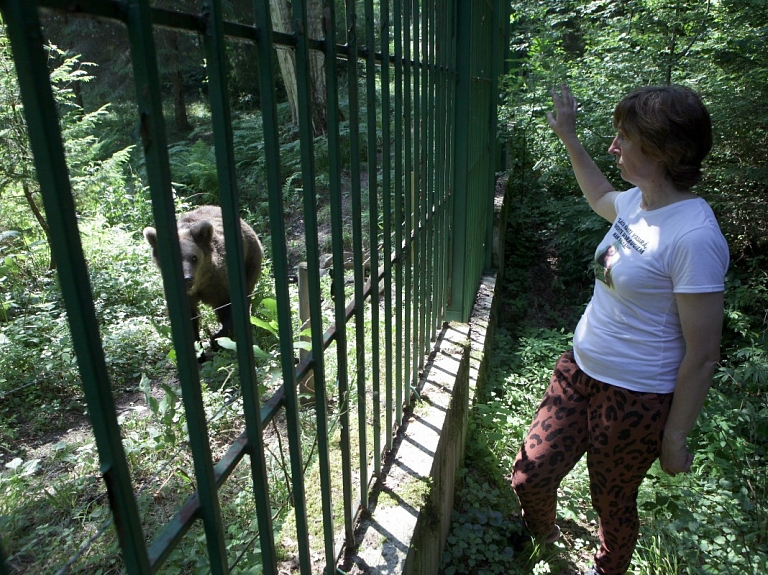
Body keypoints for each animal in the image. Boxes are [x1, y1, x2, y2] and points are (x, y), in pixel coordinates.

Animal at [144, 205, 264, 354]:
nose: (187, 279)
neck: (200, 283)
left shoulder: (219, 283)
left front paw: (217, 340)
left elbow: (228, 307)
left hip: (250, 261)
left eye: (194, 257)